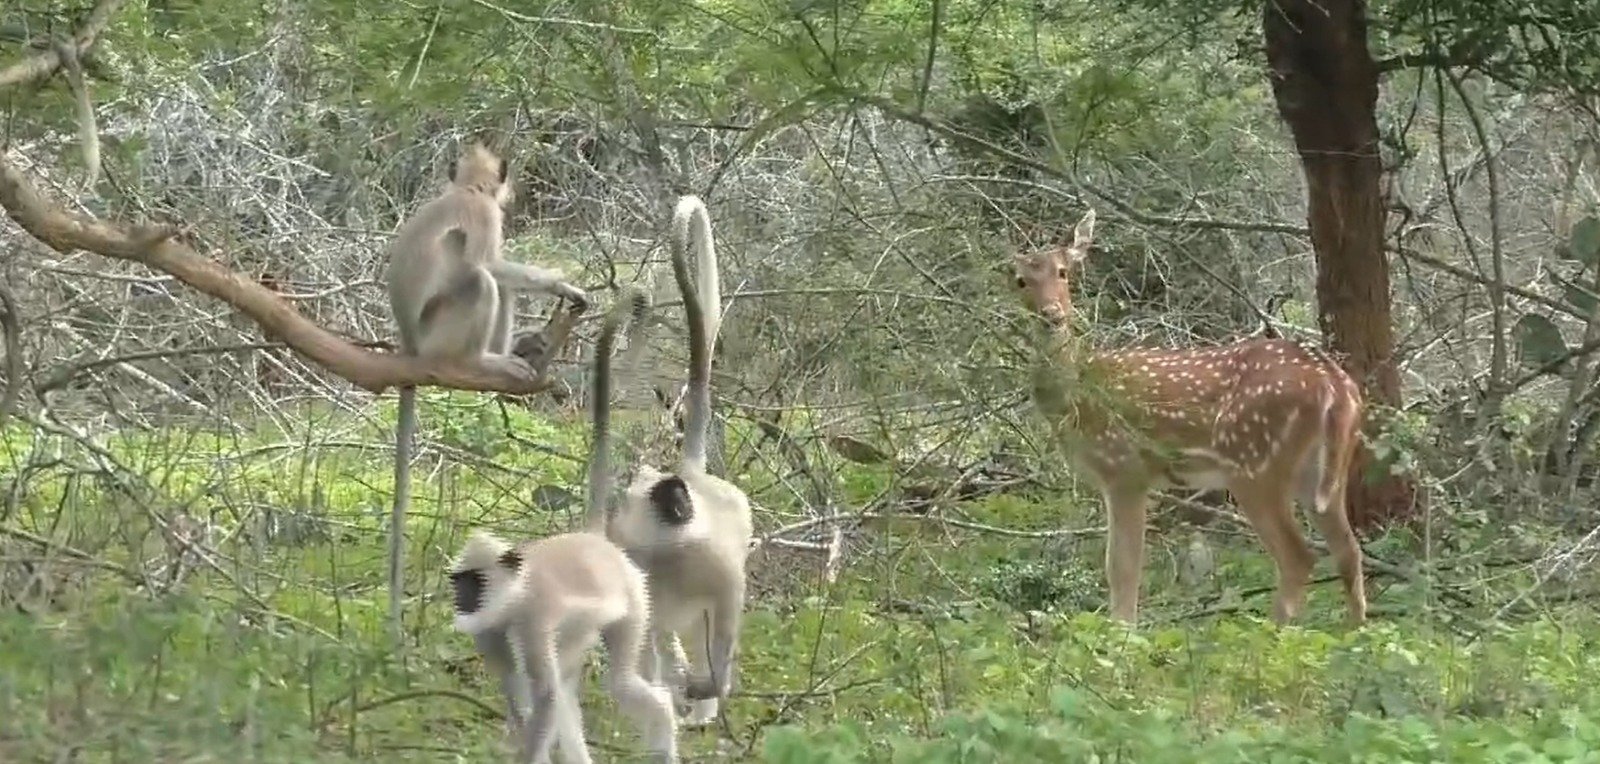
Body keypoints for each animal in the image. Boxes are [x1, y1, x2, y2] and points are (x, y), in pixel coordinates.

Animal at [387, 143, 588, 632]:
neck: (466, 190)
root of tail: (410, 344)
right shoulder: (482, 214)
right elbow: (492, 265)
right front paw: (560, 280)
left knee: (496, 284)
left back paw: (520, 353)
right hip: (441, 335)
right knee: (481, 278)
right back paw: (485, 361)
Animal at [451, 287, 675, 764]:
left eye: (474, 581)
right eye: (457, 583)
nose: (461, 600)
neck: (512, 592)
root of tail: (593, 540)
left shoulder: (530, 617)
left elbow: (545, 699)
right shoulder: (491, 628)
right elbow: (523, 699)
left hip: (633, 597)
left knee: (617, 685)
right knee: (569, 691)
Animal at [608, 194, 752, 725]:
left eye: (675, 502)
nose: (682, 500)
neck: (672, 555)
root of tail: (693, 470)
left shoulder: (719, 568)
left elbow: (725, 622)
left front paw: (706, 687)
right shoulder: (638, 560)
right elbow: (651, 627)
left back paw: (700, 702)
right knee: (660, 636)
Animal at [1017, 210, 1369, 626]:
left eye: (1062, 272)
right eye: (1020, 280)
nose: (1051, 315)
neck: (1075, 399)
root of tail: (1335, 383)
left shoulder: (1125, 469)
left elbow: (1122, 565)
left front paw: (1122, 631)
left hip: (1255, 463)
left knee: (1299, 555)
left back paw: (1273, 633)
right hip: (1322, 470)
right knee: (1348, 550)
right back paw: (1354, 632)